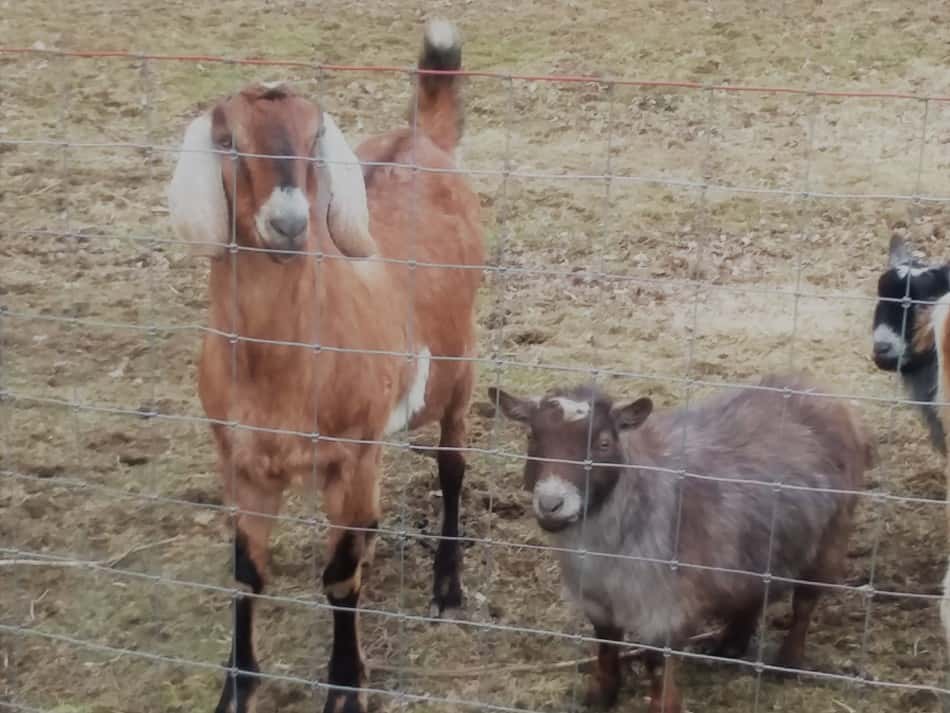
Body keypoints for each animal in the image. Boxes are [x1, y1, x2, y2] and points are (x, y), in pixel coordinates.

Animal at [165, 18, 484, 712]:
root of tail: (420, 135)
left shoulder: (348, 455)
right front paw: (237, 686)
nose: (289, 221)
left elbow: (338, 579)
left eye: (314, 137)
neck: (280, 371)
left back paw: (448, 586)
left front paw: (344, 689)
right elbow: (245, 575)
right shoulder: (240, 461)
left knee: (452, 466)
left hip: (458, 366)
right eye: (227, 140)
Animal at [494, 376, 872, 708]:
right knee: (753, 591)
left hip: (830, 536)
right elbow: (606, 644)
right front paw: (600, 695)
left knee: (805, 603)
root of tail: (821, 392)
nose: (551, 504)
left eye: (603, 443)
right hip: (755, 545)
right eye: (531, 435)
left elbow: (658, 663)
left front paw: (664, 705)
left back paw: (787, 663)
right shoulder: (598, 600)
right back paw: (730, 644)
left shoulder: (666, 604)